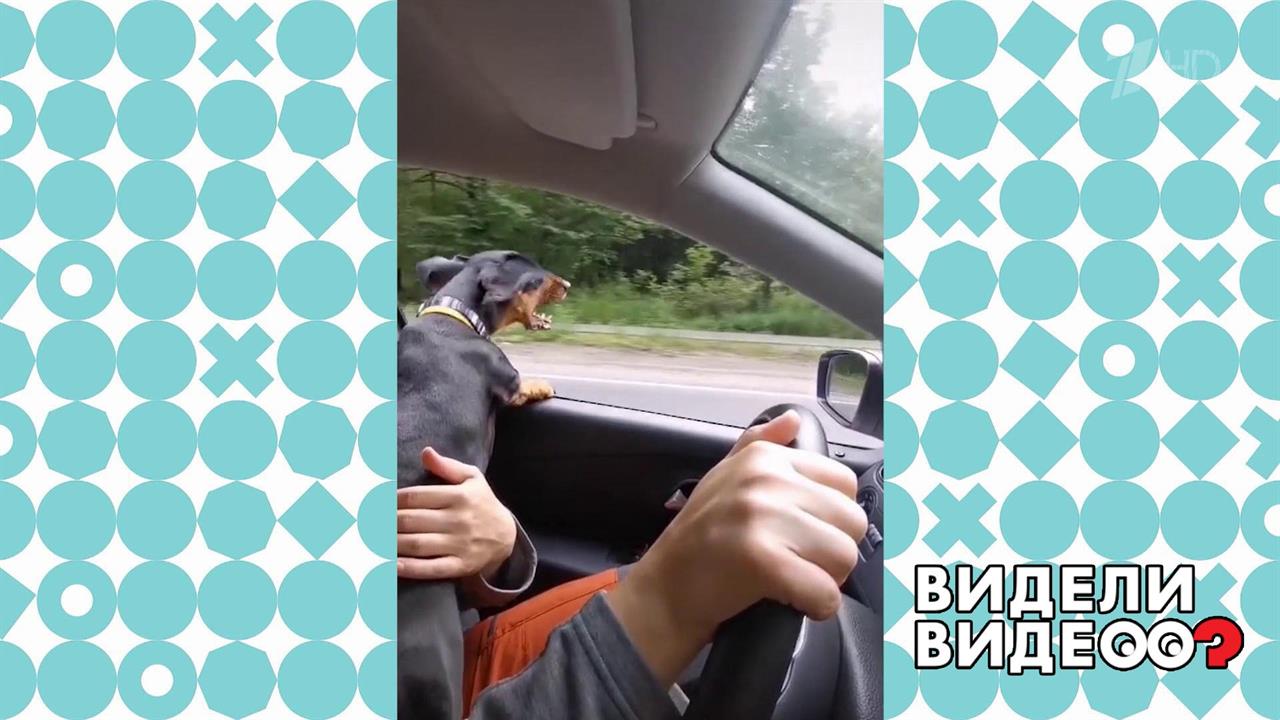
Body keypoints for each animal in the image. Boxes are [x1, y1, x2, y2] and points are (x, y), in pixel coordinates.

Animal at [397, 250, 569, 719]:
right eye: (536, 276)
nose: (566, 283)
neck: (455, 312)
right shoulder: (507, 377)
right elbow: (526, 381)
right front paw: (545, 384)